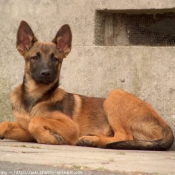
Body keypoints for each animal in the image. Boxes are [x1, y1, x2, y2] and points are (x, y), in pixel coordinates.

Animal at [0, 20, 173, 150]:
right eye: (34, 57)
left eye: (55, 59)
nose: (46, 73)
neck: (34, 98)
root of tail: (165, 126)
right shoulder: (25, 129)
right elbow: (7, 123)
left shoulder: (71, 127)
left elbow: (36, 121)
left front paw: (51, 138)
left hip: (115, 94)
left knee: (123, 136)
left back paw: (92, 140)